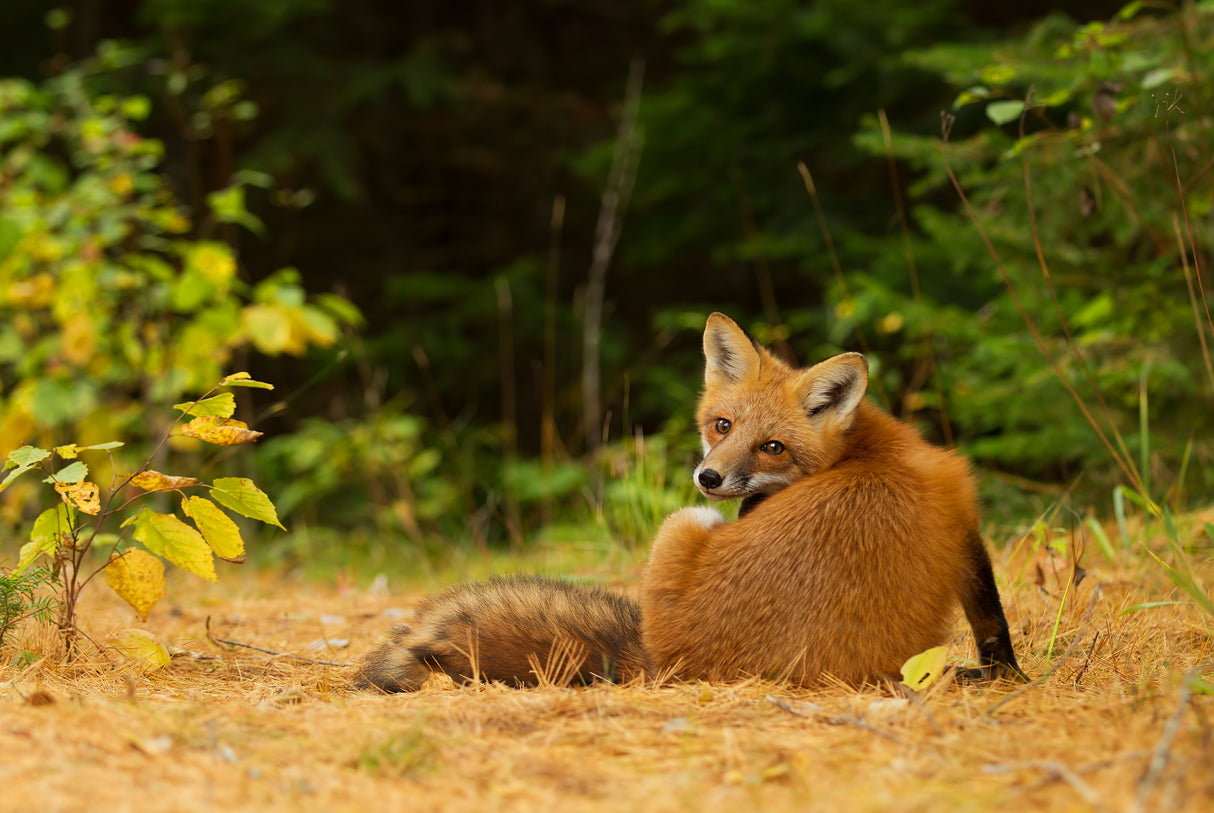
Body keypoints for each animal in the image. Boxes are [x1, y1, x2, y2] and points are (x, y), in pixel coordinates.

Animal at [356, 313, 1023, 692]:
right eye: (722, 425)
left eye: (772, 446)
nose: (709, 477)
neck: (867, 450)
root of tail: (669, 662)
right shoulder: (961, 519)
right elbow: (991, 618)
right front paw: (1005, 676)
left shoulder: (961, 511)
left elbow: (991, 618)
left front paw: (1003, 676)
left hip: (683, 523)